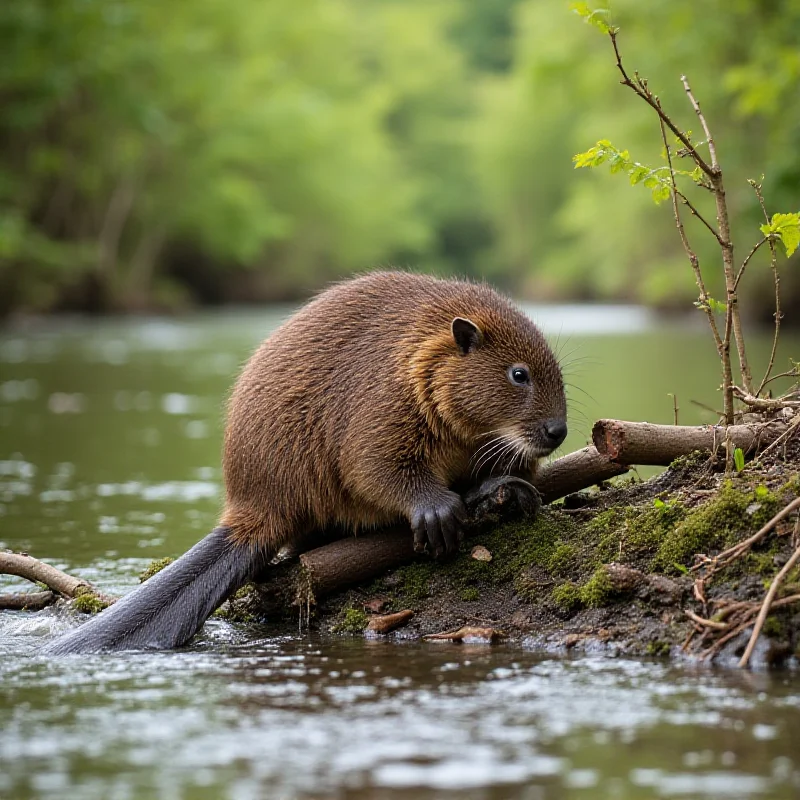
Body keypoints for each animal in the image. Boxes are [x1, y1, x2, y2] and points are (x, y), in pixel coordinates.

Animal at [45, 272, 568, 652]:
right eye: (518, 374)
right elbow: (372, 464)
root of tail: (247, 520)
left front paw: (515, 487)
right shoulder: (384, 398)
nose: (557, 431)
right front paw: (437, 513)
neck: (421, 349)